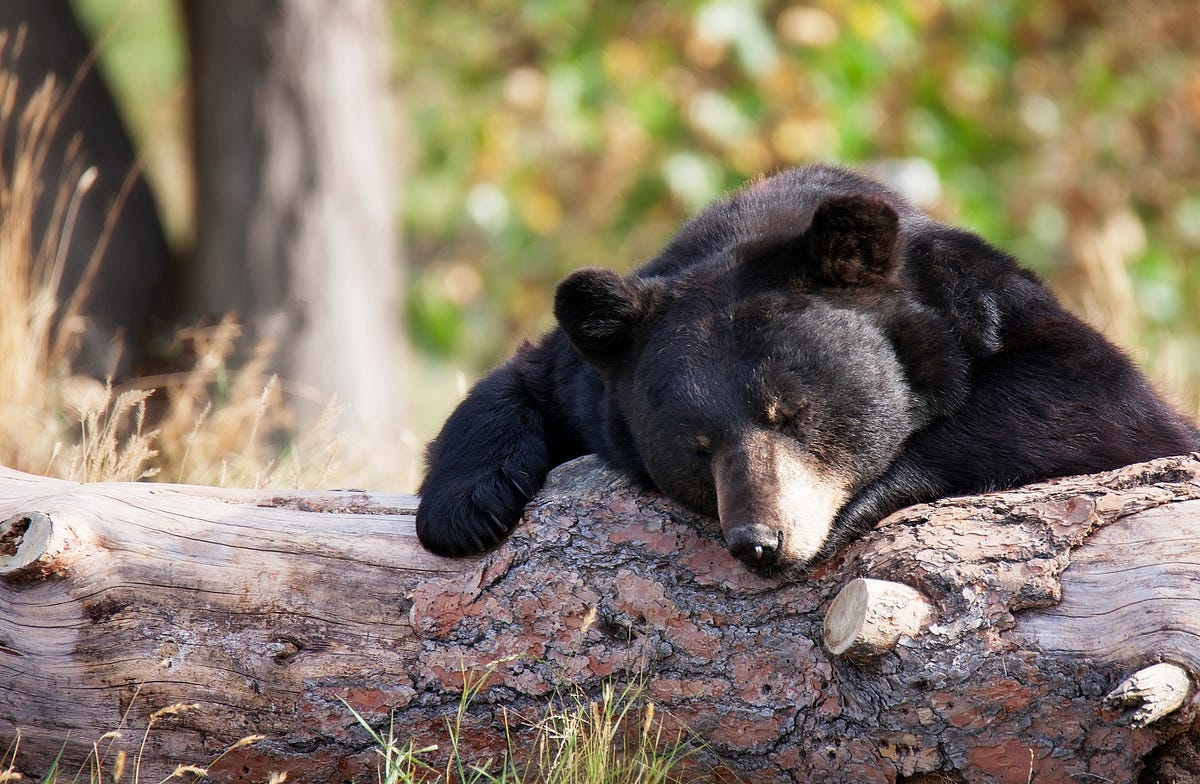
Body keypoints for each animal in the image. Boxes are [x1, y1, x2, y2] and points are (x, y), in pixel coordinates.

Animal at [415, 164, 1199, 577]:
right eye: (697, 446)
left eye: (790, 413)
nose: (759, 542)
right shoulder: (595, 378)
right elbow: (521, 378)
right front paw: (464, 510)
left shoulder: (986, 306)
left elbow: (1096, 402)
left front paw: (865, 494)